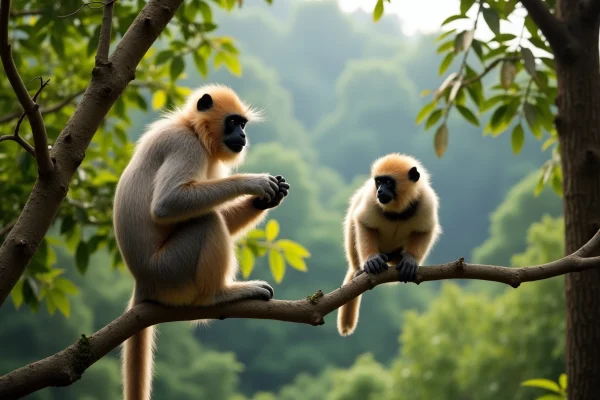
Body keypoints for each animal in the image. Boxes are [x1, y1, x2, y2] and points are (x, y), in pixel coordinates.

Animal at [113, 83, 292, 400]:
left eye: (243, 124)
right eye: (233, 122)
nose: (243, 136)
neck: (192, 129)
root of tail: (143, 281)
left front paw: (265, 199)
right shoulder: (185, 145)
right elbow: (167, 204)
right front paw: (255, 183)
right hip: (171, 269)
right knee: (206, 220)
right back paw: (220, 294)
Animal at [338, 153, 440, 338]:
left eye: (388, 182)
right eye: (378, 182)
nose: (379, 190)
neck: (398, 211)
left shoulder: (426, 202)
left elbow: (425, 230)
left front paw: (410, 261)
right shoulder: (371, 199)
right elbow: (363, 223)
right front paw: (371, 260)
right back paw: (360, 270)